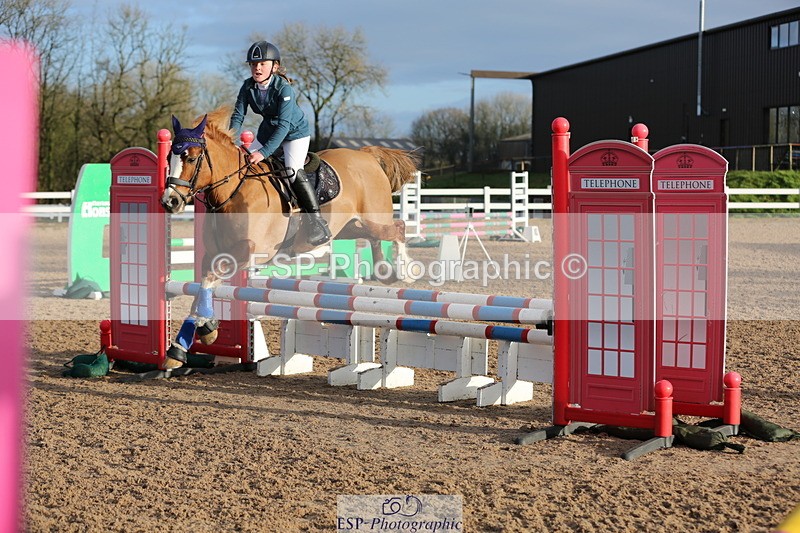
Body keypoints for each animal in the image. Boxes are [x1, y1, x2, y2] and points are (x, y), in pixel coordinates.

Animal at [159, 107, 418, 369]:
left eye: (192, 158)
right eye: (170, 157)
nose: (170, 201)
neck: (232, 192)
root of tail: (366, 156)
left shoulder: (247, 251)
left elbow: (208, 281)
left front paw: (184, 344)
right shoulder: (214, 254)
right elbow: (203, 286)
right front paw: (202, 332)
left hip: (373, 219)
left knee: (398, 228)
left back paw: (405, 271)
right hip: (351, 227)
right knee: (377, 238)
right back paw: (385, 271)